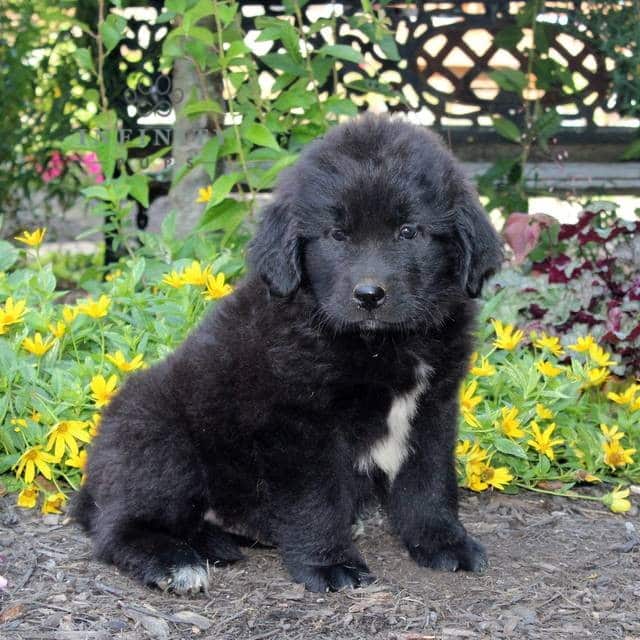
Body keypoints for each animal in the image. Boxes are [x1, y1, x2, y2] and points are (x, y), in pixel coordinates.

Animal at [75, 114, 502, 592]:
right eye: (337, 235)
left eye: (408, 232)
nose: (369, 295)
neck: (379, 344)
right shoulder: (299, 425)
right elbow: (315, 500)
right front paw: (329, 562)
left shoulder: (433, 407)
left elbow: (428, 482)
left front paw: (443, 542)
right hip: (158, 441)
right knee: (117, 529)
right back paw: (174, 563)